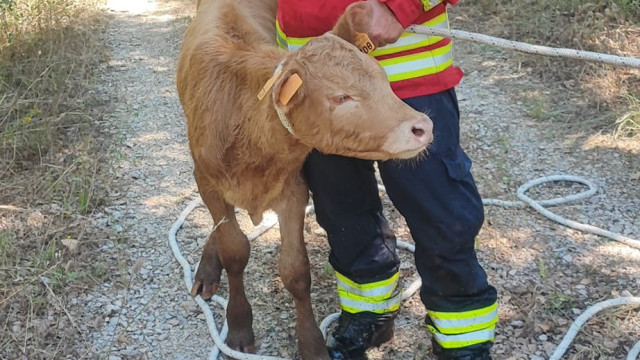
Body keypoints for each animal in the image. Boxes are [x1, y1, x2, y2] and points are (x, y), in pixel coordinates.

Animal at [178, 1, 432, 358]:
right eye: (341, 97)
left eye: (384, 79)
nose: (423, 126)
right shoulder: (209, 181)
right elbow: (235, 250)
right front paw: (239, 325)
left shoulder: (293, 191)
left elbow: (296, 271)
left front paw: (311, 343)